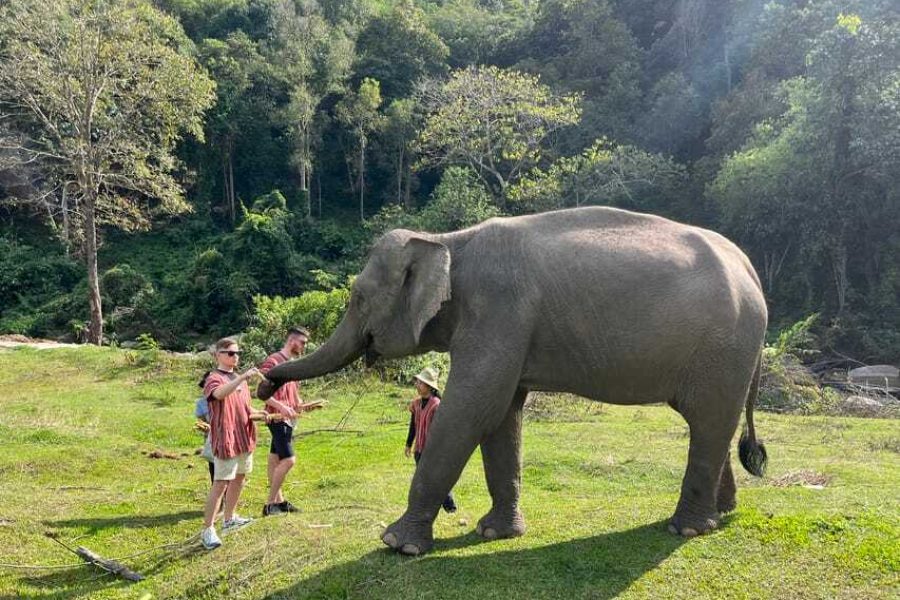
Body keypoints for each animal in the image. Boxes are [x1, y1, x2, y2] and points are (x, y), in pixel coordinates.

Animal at [258, 207, 768, 556]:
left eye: (358, 297)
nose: (264, 387)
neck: (448, 240)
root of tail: (751, 269)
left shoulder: (498, 312)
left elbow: (473, 409)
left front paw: (397, 544)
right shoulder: (505, 327)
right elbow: (503, 416)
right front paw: (494, 533)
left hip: (725, 347)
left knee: (709, 420)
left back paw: (687, 528)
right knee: (711, 423)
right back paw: (720, 514)